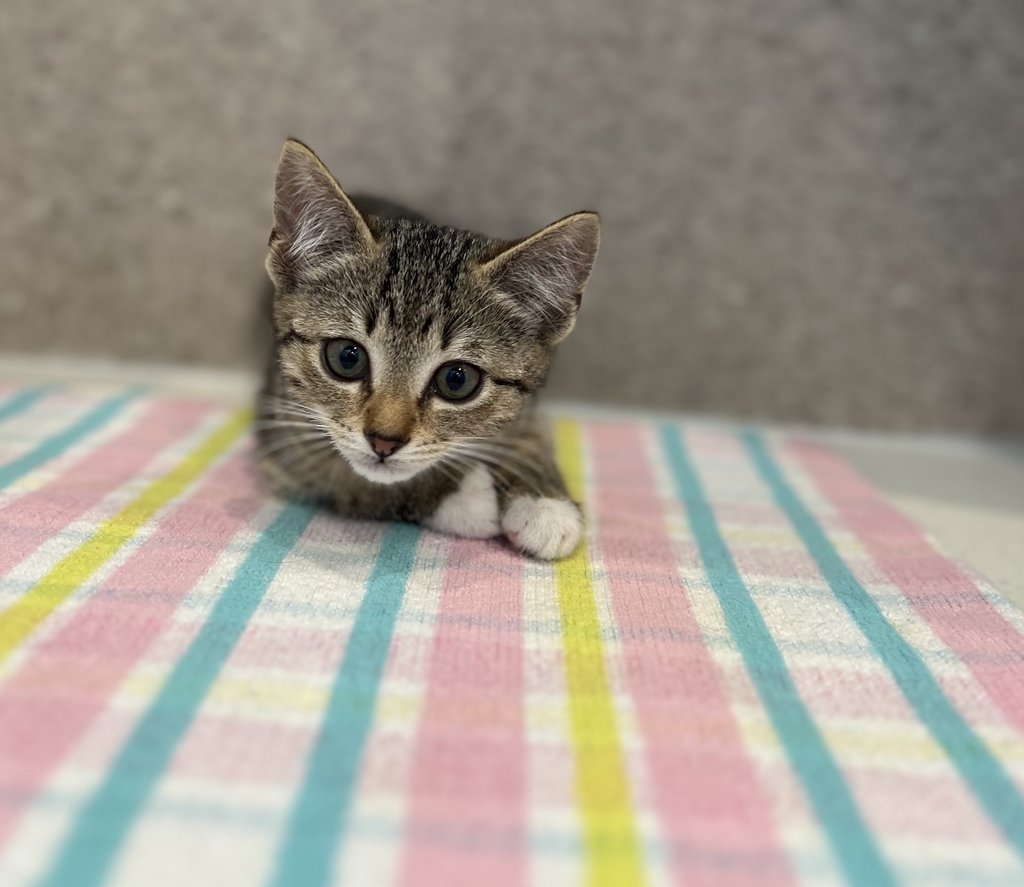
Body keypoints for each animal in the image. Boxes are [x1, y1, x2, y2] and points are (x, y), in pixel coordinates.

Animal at [256, 139, 600, 560]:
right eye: (346, 358)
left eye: (457, 380)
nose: (384, 441)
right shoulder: (280, 431)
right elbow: (350, 475)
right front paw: (464, 498)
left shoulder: (529, 406)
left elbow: (534, 432)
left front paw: (544, 503)